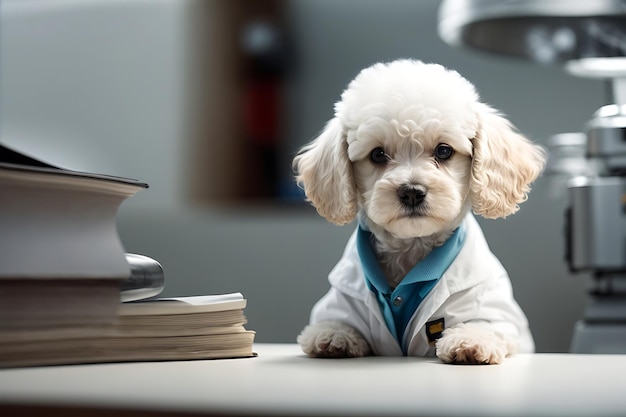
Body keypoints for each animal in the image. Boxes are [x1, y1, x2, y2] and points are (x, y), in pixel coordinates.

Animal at [292, 59, 540, 364]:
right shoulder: (342, 302)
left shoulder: (496, 313)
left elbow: (489, 323)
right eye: (377, 155)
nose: (411, 191)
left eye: (444, 151)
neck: (410, 247)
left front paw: (471, 339)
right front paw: (335, 334)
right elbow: (336, 319)